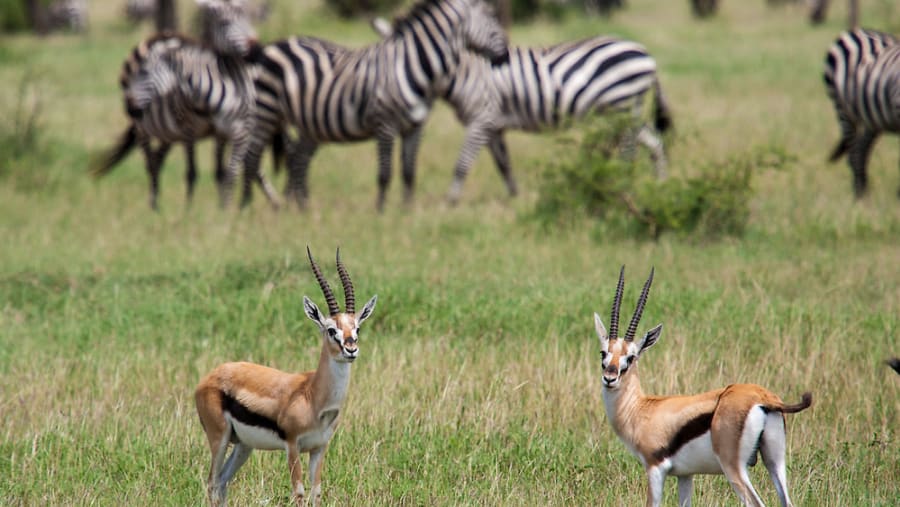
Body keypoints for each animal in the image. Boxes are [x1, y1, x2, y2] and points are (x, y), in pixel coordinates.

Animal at [194, 247, 377, 506]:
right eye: (331, 330)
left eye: (357, 328)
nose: (351, 349)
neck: (313, 396)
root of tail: (211, 376)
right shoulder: (292, 446)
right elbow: (299, 493)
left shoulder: (319, 447)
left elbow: (316, 492)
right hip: (219, 438)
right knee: (211, 482)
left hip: (244, 446)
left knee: (222, 482)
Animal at [243, 0, 509, 211]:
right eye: (491, 17)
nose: (506, 55)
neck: (414, 66)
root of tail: (274, 43)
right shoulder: (385, 124)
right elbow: (385, 173)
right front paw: (381, 212)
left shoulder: (416, 127)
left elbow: (409, 172)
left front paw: (407, 211)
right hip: (266, 111)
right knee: (252, 158)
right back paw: (247, 206)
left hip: (310, 124)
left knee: (298, 159)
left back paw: (303, 208)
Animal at [372, 18, 671, 203]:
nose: (386, 95)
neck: (464, 73)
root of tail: (647, 55)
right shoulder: (492, 125)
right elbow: (504, 164)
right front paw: (514, 199)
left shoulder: (481, 118)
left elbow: (462, 164)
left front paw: (450, 202)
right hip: (626, 110)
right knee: (654, 143)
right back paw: (659, 185)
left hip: (621, 106)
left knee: (629, 150)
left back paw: (623, 183)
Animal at [594, 267, 812, 507]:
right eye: (604, 352)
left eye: (630, 357)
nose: (610, 378)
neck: (641, 409)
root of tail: (763, 398)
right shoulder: (685, 475)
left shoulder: (655, 469)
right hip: (775, 461)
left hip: (733, 468)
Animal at [823, 28, 899, 197]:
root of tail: (855, 31)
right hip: (843, 110)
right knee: (854, 155)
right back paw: (860, 197)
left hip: (873, 117)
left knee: (861, 150)